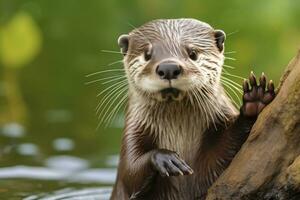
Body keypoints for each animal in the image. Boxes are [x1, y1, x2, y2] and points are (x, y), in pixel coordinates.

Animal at [109, 18, 276, 200]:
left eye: (193, 53)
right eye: (147, 54)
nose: (168, 68)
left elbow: (225, 150)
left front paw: (256, 98)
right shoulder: (133, 132)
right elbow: (130, 172)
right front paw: (166, 158)